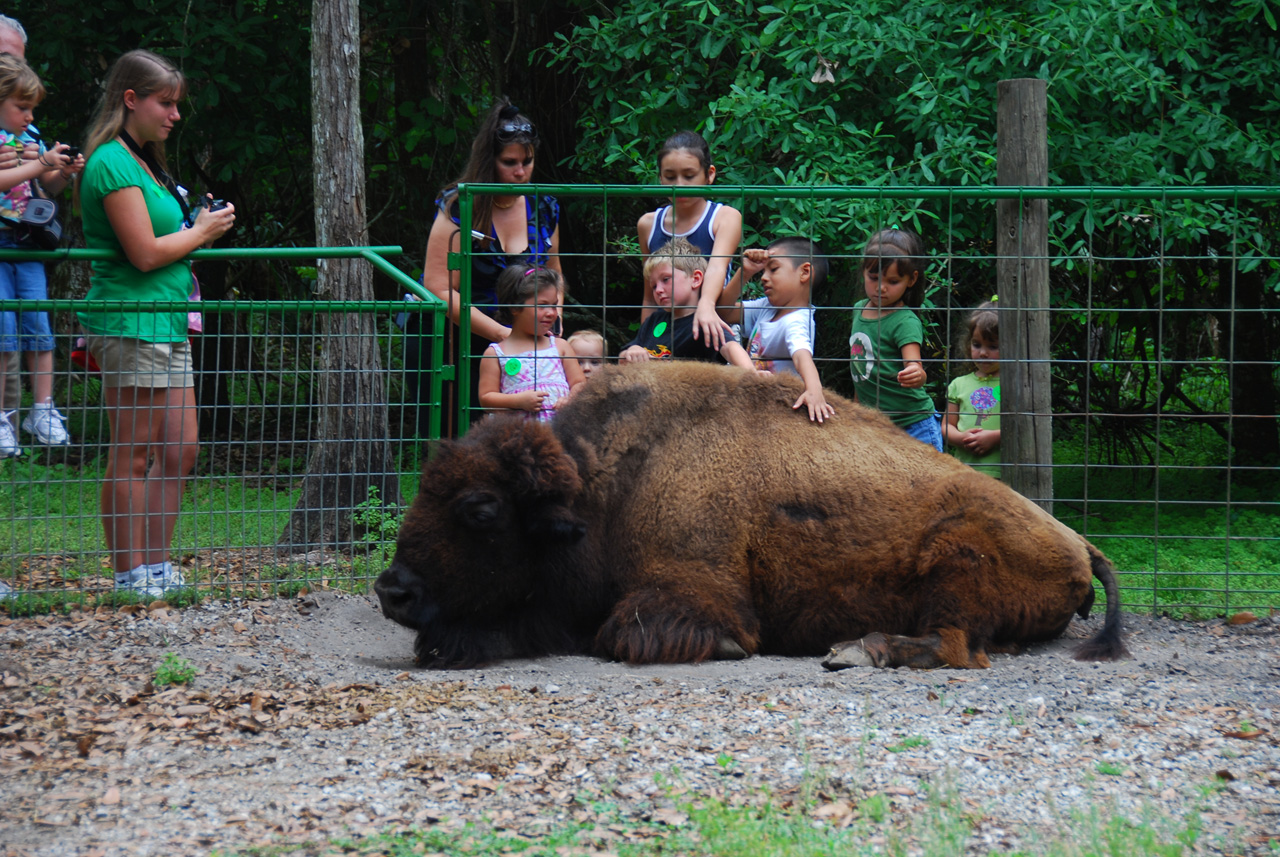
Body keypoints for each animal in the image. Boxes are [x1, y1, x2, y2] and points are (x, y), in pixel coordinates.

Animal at [373, 363, 1126, 670]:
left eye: (480, 508)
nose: (392, 589)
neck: (602, 487)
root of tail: (1078, 542)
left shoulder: (690, 588)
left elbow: (629, 633)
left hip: (957, 557)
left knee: (955, 644)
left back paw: (860, 649)